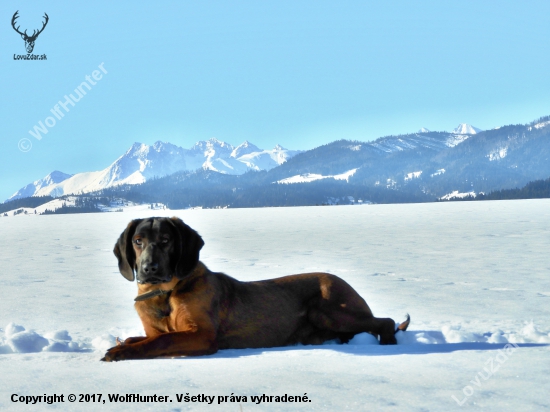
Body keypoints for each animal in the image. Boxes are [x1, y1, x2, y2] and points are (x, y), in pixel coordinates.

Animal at [101, 216, 410, 360]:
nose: (149, 268)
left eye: (166, 240)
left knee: (386, 321)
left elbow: (160, 341)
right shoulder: (155, 328)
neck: (164, 294)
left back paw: (388, 343)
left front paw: (118, 353)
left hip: (330, 310)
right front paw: (122, 345)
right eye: (138, 241)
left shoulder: (203, 335)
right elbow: (141, 338)